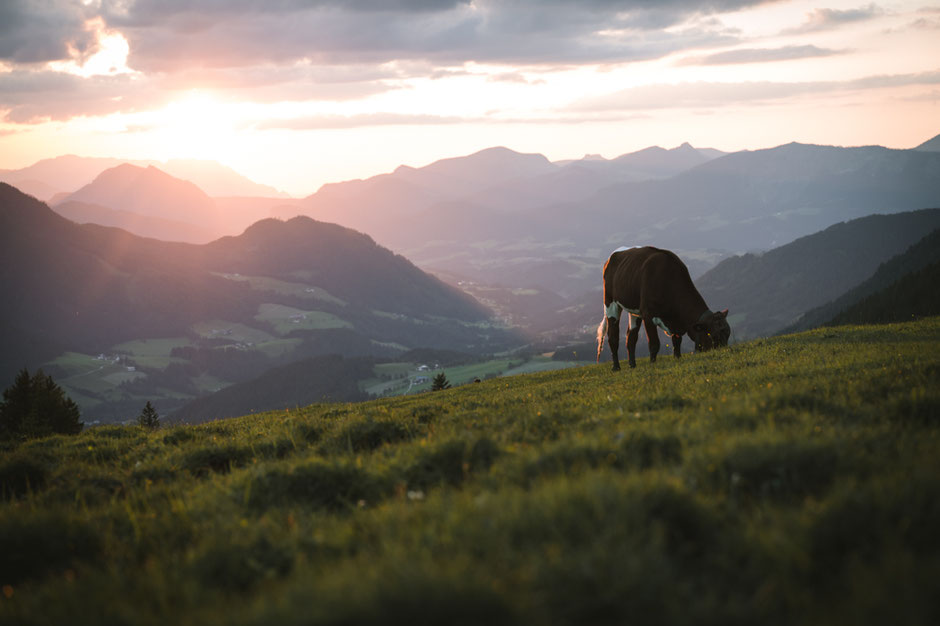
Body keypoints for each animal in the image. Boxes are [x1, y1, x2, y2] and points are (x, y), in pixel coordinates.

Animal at [600, 245, 732, 370]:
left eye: (728, 333)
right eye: (714, 336)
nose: (725, 352)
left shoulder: (675, 321)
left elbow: (677, 342)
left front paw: (677, 357)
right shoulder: (648, 315)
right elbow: (654, 344)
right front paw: (653, 364)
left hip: (634, 311)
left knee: (631, 337)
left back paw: (632, 365)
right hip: (610, 303)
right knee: (613, 337)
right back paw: (616, 367)